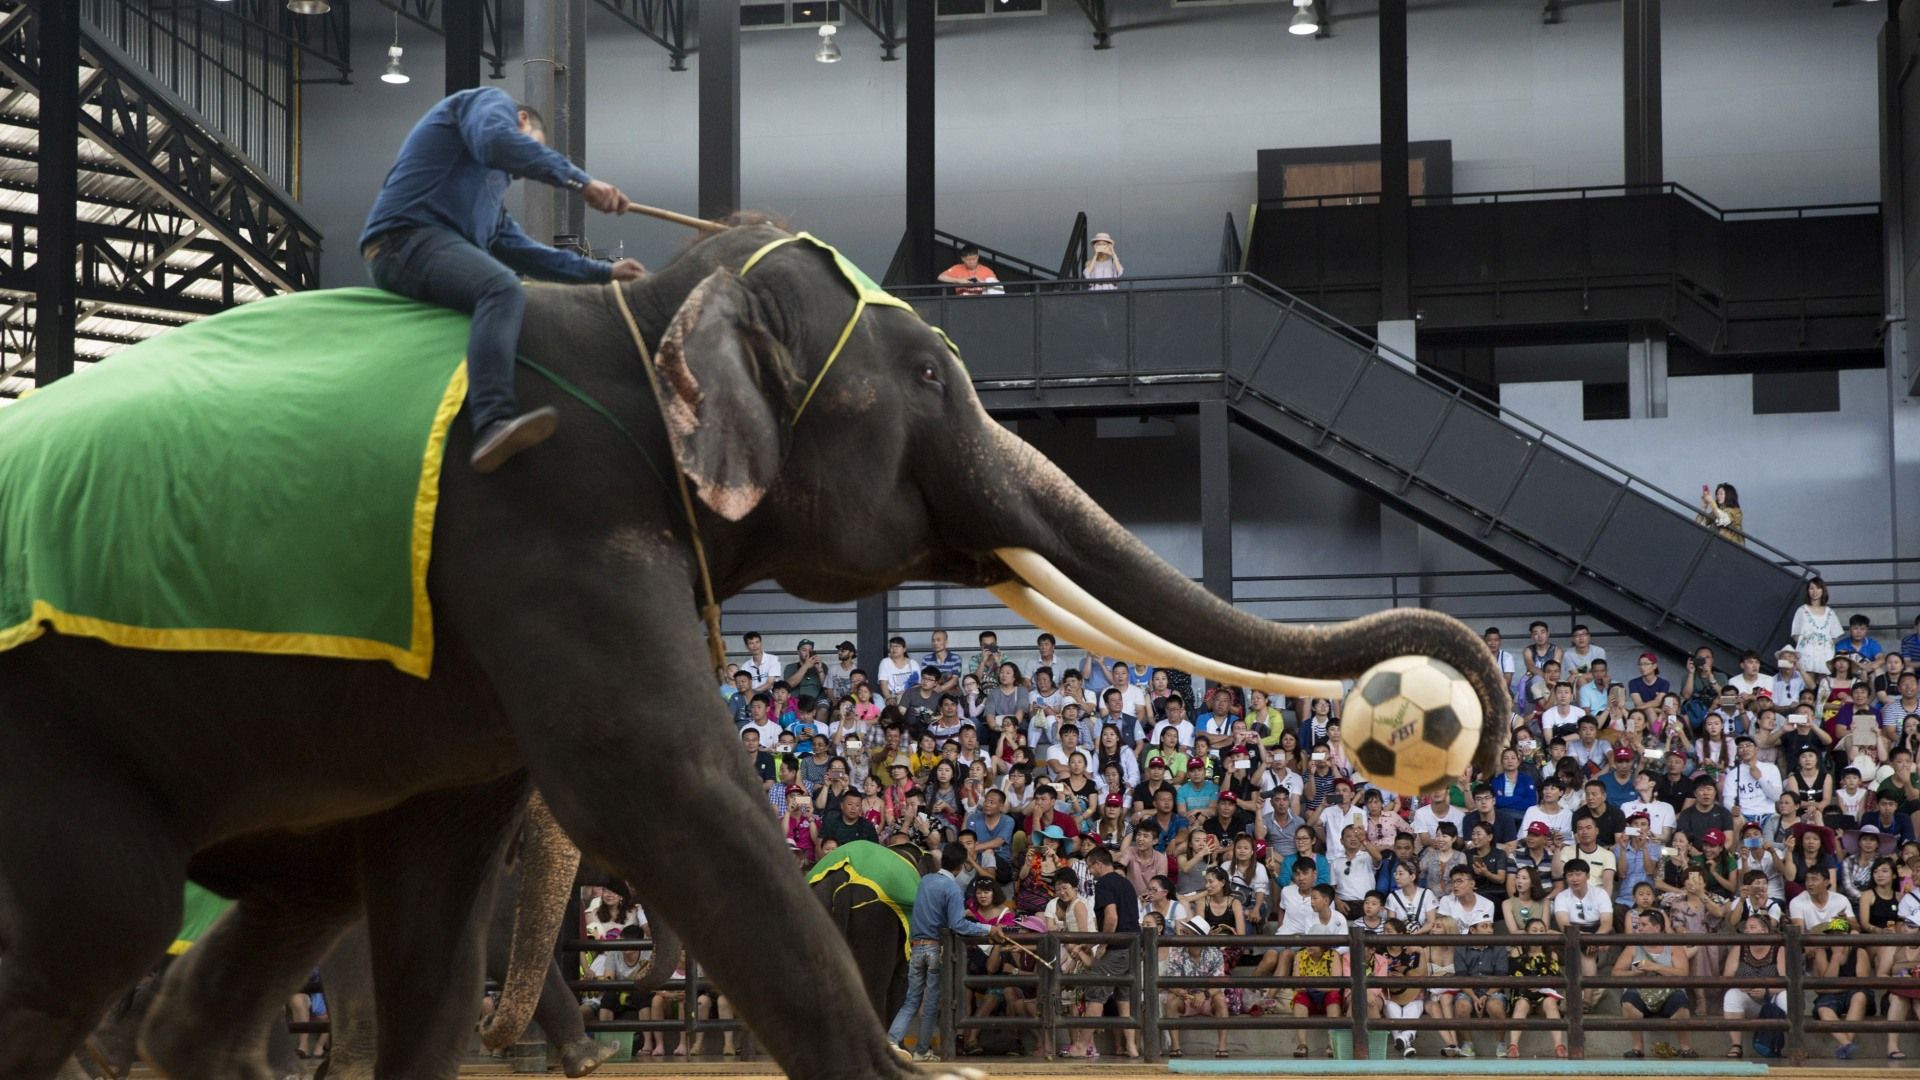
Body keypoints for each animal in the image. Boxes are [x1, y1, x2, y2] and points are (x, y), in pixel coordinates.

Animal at [0, 217, 1511, 1080]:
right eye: (933, 380)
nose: (1456, 709)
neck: (650, 305)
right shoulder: (541, 529)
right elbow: (657, 790)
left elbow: (440, 873)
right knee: (105, 924)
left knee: (261, 924)